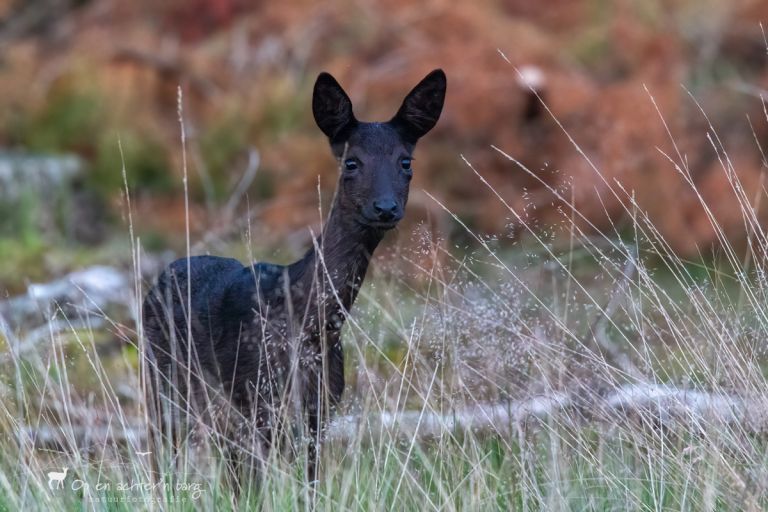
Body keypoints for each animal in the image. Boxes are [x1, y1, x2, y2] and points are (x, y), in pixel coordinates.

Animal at [141, 68, 448, 484]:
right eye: (351, 162)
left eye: (405, 162)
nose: (385, 207)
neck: (309, 323)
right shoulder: (257, 397)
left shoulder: (322, 407)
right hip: (164, 383)